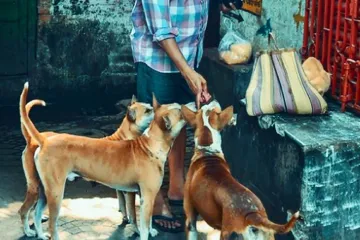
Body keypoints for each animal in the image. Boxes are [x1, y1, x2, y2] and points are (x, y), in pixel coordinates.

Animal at [19, 82, 188, 240]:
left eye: (150, 106)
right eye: (147, 111)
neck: (146, 144)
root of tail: (43, 140)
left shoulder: (142, 194)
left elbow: (146, 217)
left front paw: (149, 229)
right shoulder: (137, 194)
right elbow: (135, 218)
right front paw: (140, 230)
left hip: (43, 190)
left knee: (36, 213)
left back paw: (40, 234)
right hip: (53, 192)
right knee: (41, 219)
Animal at [181, 100, 300, 240]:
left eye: (214, 109)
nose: (213, 100)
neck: (207, 151)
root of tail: (253, 215)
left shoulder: (190, 218)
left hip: (227, 233)